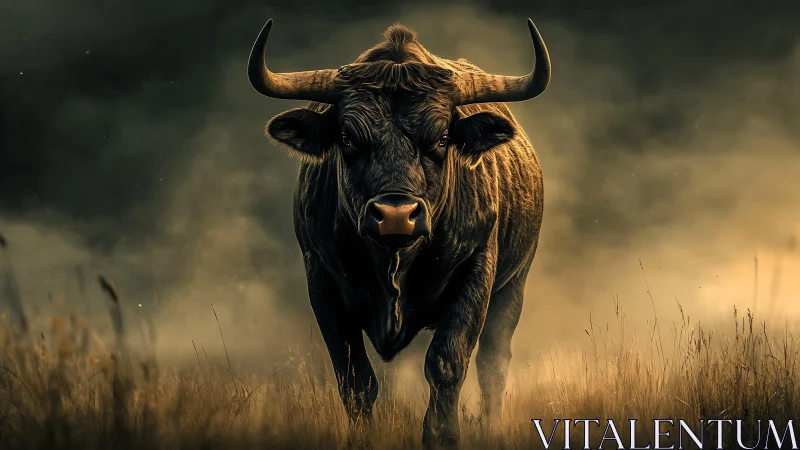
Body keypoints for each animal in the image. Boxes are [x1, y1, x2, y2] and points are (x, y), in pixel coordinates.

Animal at [247, 17, 550, 447]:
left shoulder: (476, 270)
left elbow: (446, 363)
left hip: (513, 286)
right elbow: (355, 378)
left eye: (442, 138)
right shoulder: (321, 280)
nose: (395, 215)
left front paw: (442, 435)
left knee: (493, 364)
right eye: (347, 137)